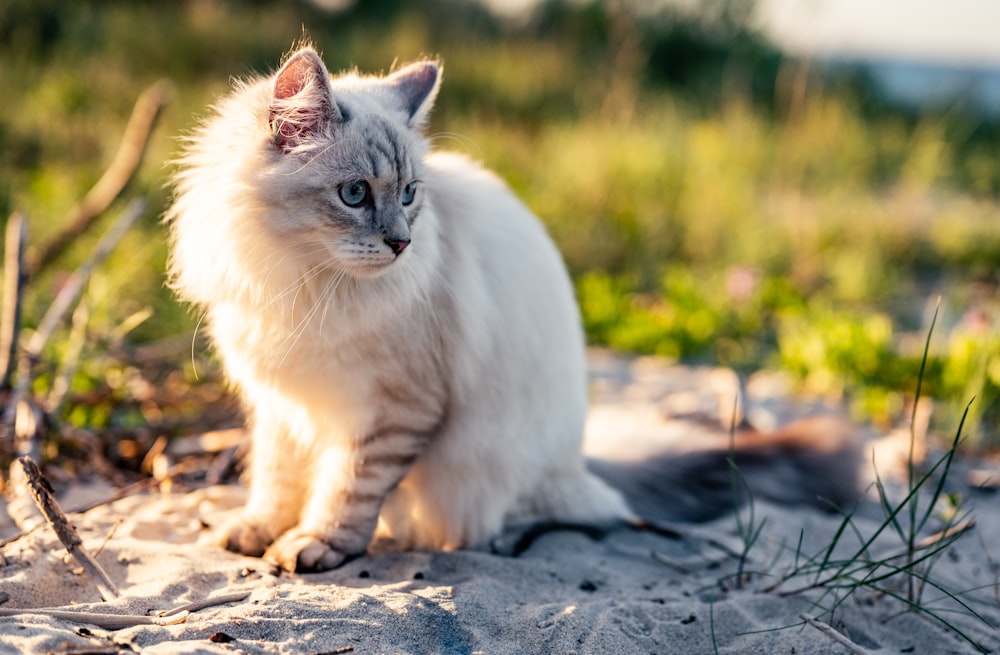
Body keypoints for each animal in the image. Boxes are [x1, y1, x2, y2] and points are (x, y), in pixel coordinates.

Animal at [164, 43, 860, 572]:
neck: (302, 284)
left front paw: (315, 544)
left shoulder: (393, 410)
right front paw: (259, 530)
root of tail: (579, 462)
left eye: (410, 195)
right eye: (355, 194)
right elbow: (277, 479)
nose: (402, 243)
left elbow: (347, 489)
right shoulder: (280, 403)